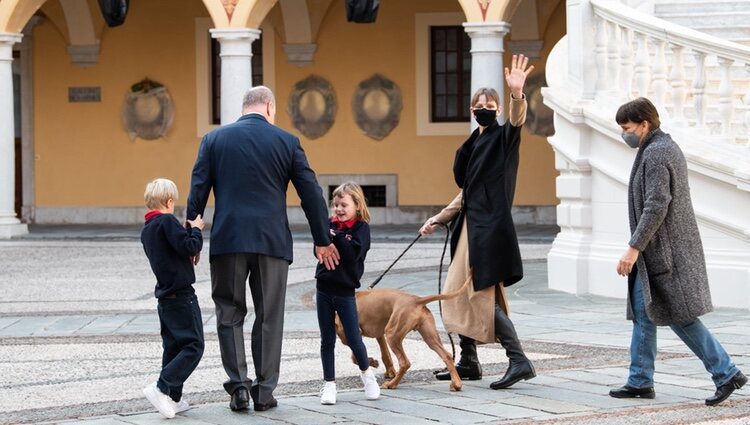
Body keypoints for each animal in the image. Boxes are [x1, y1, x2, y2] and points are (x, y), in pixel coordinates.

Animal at [338, 274, 472, 390]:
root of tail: (417, 299)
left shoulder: (351, 335)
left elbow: (354, 357)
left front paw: (371, 361)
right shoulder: (379, 334)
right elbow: (384, 354)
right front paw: (382, 367)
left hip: (392, 334)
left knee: (405, 363)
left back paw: (391, 384)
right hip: (429, 337)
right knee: (447, 356)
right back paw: (456, 384)